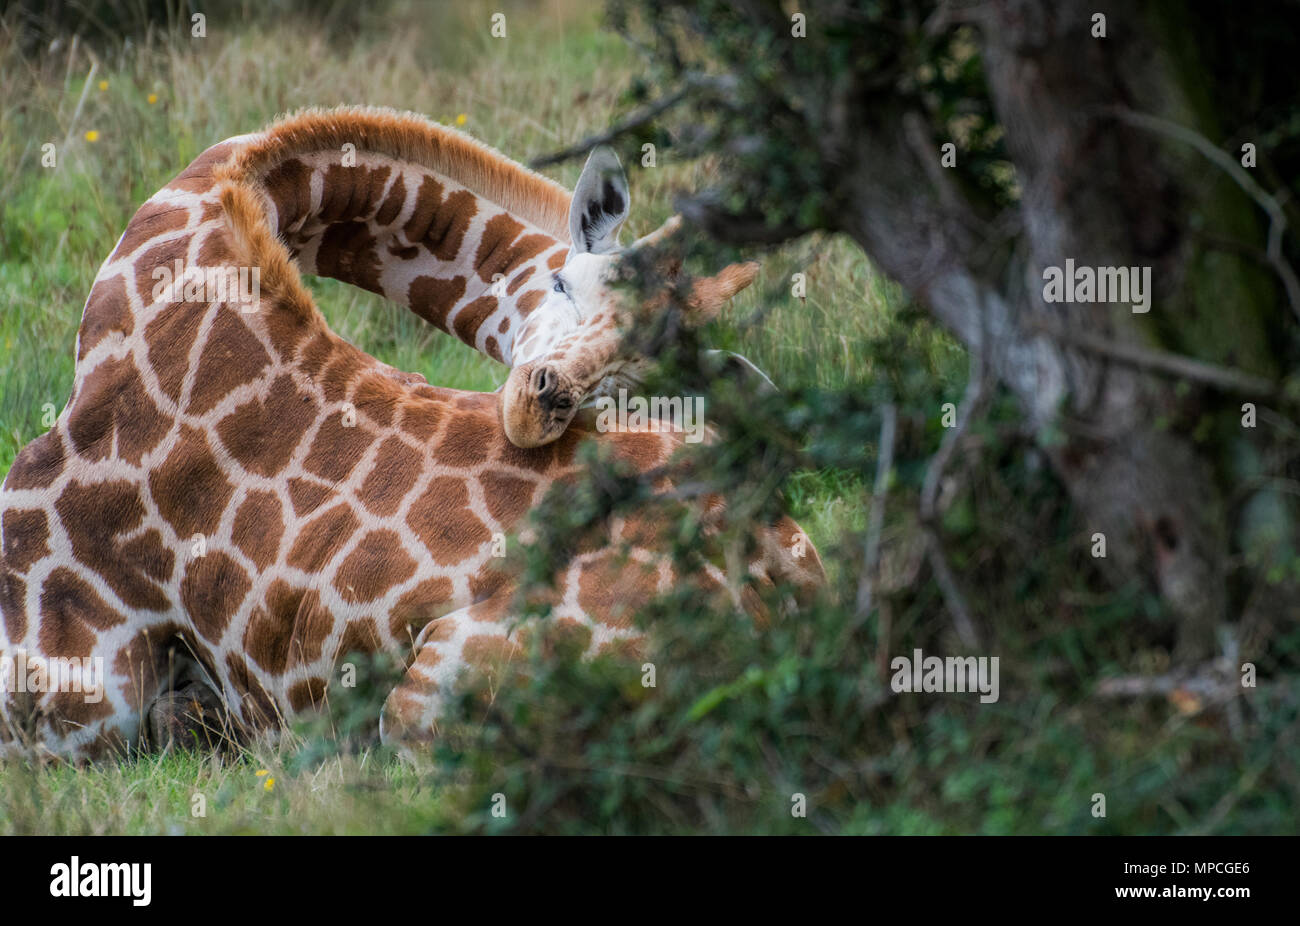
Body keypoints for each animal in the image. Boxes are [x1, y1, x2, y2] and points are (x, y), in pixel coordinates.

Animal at [0, 106, 821, 759]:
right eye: (564, 283)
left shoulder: (72, 673)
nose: (539, 405)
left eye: (635, 378)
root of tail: (775, 603)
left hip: (426, 699)